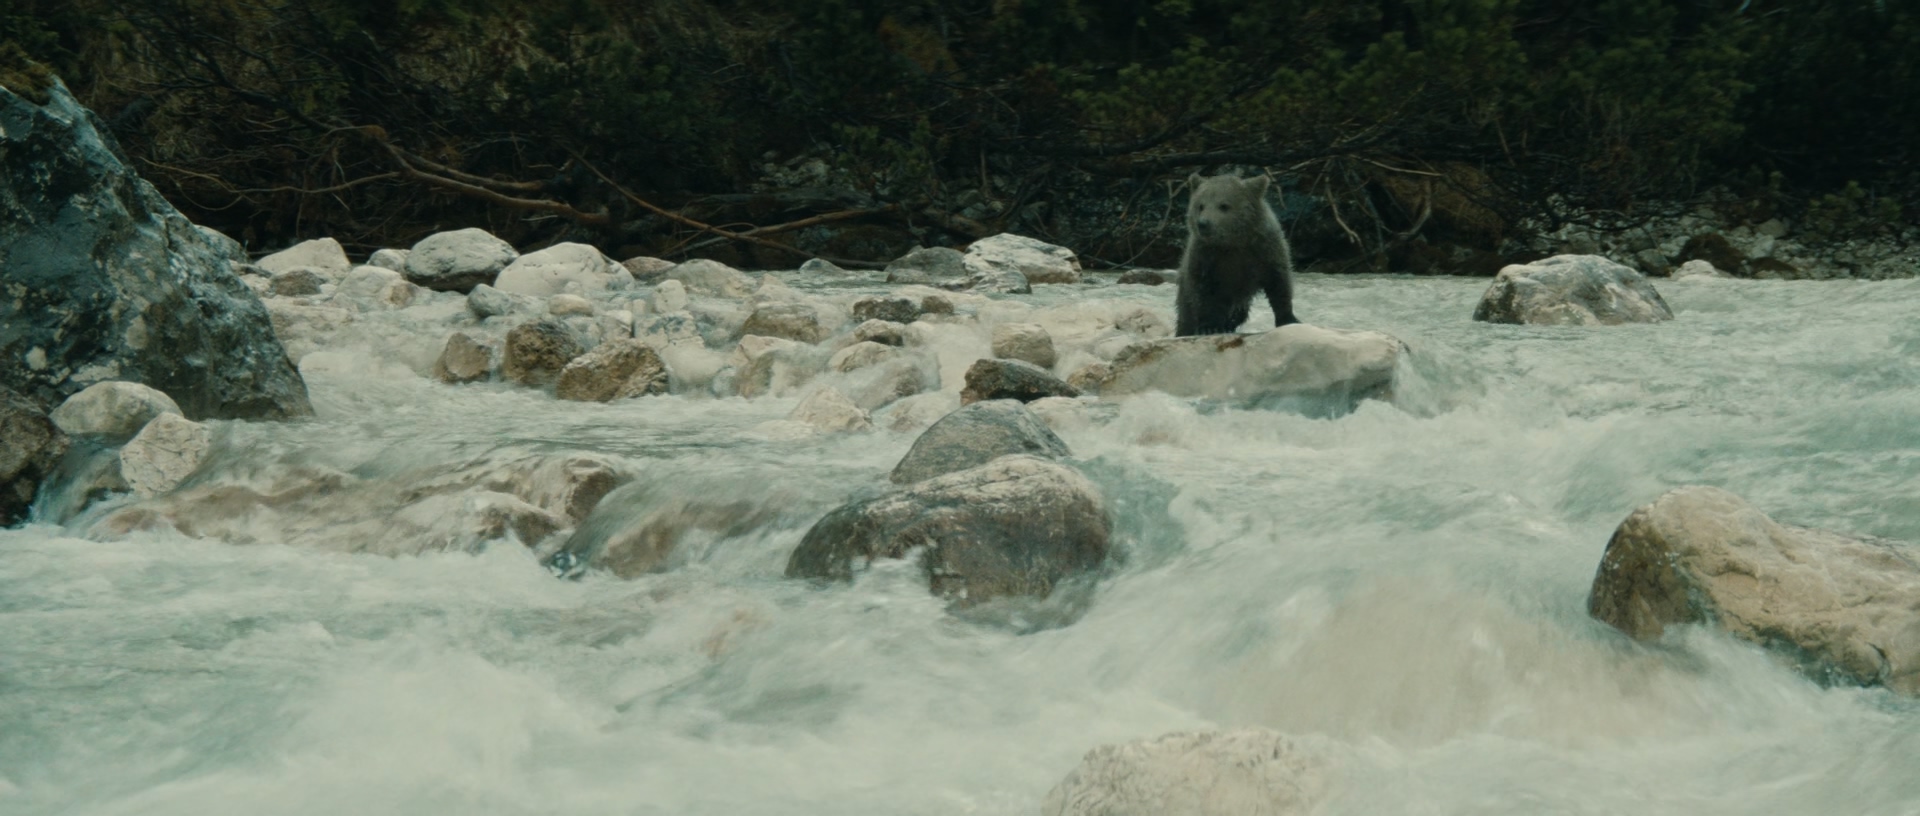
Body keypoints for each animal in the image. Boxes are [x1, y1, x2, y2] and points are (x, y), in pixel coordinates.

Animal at [1174, 173, 1298, 336]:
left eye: (1224, 205)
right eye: (1200, 205)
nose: (1203, 223)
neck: (1233, 243)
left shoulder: (1265, 251)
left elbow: (1279, 282)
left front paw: (1288, 318)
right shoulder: (1206, 257)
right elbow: (1203, 292)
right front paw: (1209, 326)